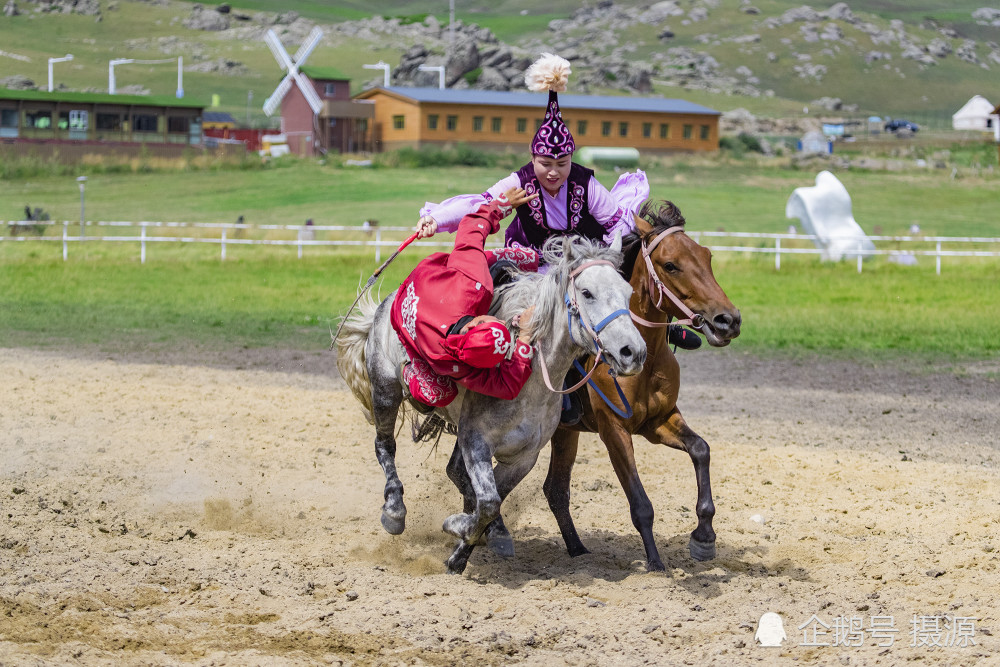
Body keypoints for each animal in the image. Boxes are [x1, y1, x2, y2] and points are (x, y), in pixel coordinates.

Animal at [340, 235, 644, 576]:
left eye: (628, 292)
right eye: (587, 293)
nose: (633, 352)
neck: (530, 382)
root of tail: (387, 303)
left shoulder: (523, 457)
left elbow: (493, 497)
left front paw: (467, 547)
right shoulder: (476, 443)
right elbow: (487, 501)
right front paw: (458, 528)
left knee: (454, 471)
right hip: (385, 391)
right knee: (385, 446)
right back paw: (394, 511)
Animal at [544, 201, 740, 572]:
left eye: (707, 256)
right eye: (670, 265)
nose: (729, 320)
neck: (643, 360)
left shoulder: (658, 421)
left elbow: (701, 449)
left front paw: (704, 537)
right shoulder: (614, 429)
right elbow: (640, 503)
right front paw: (655, 562)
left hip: (564, 432)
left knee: (555, 489)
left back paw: (577, 550)